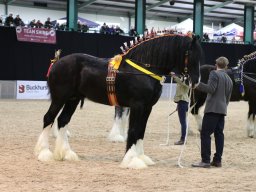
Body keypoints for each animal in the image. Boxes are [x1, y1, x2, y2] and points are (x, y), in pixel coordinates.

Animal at [34, 34, 202, 168]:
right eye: (190, 54)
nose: (196, 81)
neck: (143, 69)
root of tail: (57, 62)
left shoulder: (147, 107)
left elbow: (141, 130)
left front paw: (141, 157)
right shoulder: (137, 106)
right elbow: (133, 130)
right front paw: (131, 160)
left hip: (73, 100)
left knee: (63, 120)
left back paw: (66, 153)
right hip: (59, 98)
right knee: (49, 118)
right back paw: (44, 153)